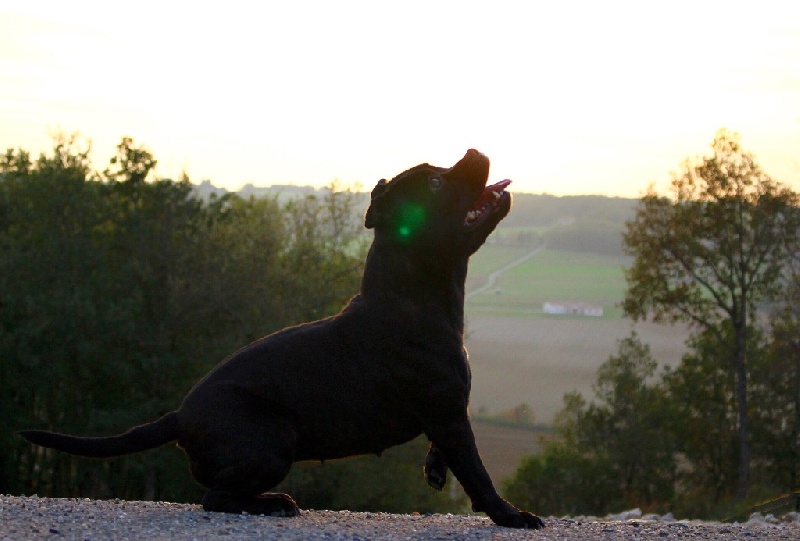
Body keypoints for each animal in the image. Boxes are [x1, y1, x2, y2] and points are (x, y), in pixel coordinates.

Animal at [18, 150, 544, 528]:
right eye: (435, 182)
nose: (474, 150)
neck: (411, 300)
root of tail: (180, 415)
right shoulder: (451, 415)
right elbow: (478, 473)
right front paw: (511, 515)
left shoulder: (446, 416)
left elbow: (451, 459)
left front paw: (436, 470)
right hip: (275, 440)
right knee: (215, 496)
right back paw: (274, 503)